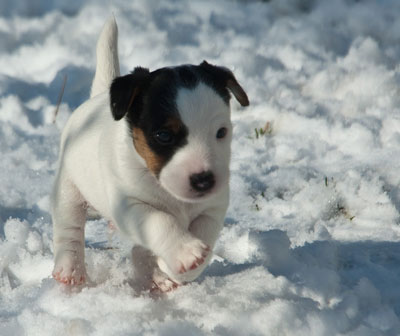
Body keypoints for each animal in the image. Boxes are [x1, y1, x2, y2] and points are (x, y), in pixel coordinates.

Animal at [51, 17, 248, 292]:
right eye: (163, 135)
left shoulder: (212, 209)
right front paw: (187, 252)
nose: (203, 180)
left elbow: (204, 234)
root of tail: (98, 96)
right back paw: (70, 269)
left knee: (138, 251)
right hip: (68, 187)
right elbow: (160, 221)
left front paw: (172, 268)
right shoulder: (130, 206)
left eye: (221, 133)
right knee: (69, 227)